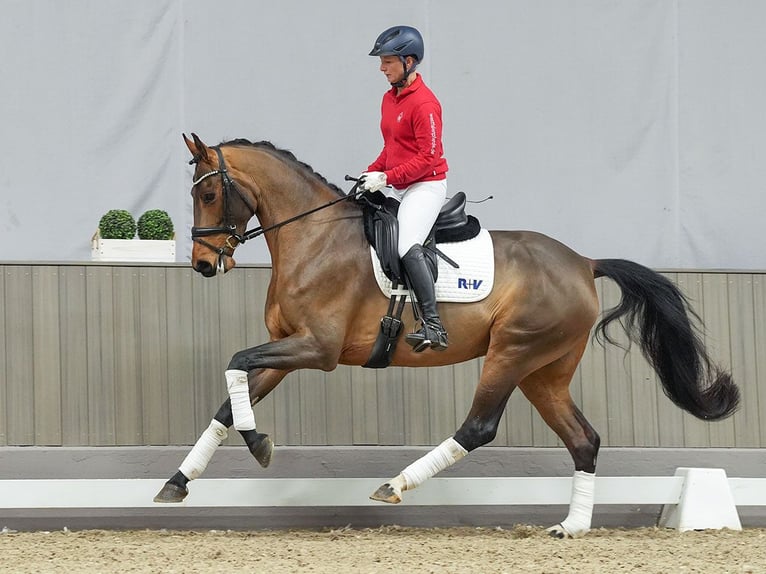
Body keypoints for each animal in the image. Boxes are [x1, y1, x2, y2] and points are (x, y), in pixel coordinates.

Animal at [153, 134, 740, 540]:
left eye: (210, 192)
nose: (202, 263)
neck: (313, 237)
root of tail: (583, 262)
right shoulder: (286, 348)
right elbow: (230, 399)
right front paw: (179, 481)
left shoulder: (316, 349)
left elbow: (235, 362)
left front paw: (259, 445)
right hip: (544, 372)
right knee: (583, 439)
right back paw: (571, 527)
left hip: (512, 353)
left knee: (479, 427)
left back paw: (395, 485)